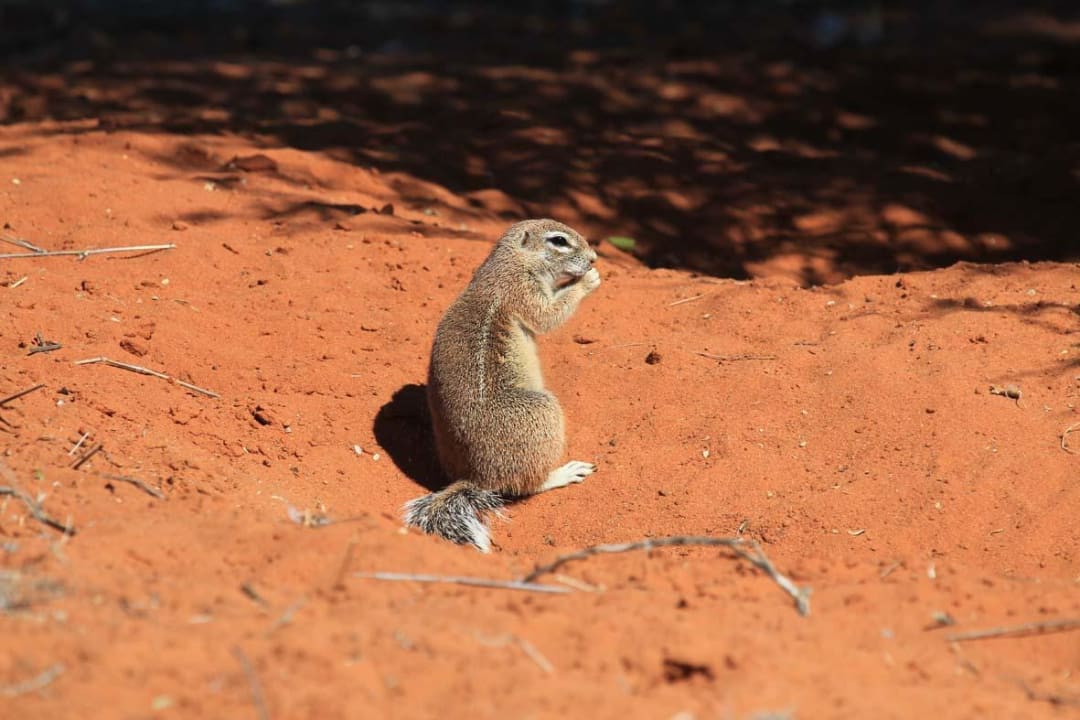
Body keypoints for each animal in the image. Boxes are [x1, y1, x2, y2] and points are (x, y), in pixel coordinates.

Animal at [403, 218, 601, 552]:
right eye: (559, 241)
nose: (593, 259)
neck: (511, 261)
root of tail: (477, 478)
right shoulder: (523, 291)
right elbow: (547, 316)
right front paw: (588, 281)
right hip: (542, 410)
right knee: (528, 485)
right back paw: (563, 473)